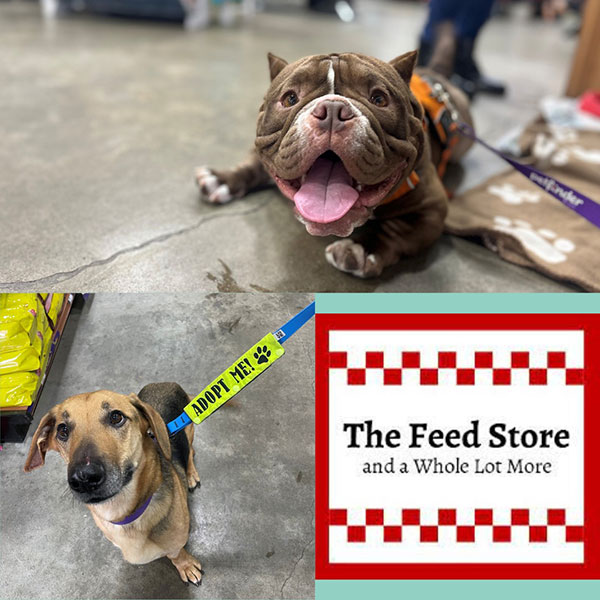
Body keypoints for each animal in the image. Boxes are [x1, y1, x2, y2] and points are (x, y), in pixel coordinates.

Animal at [23, 384, 203, 584]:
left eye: (116, 417)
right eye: (62, 430)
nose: (84, 478)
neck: (125, 514)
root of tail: (167, 382)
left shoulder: (177, 542)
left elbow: (176, 554)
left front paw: (185, 565)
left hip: (189, 430)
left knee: (191, 451)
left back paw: (191, 474)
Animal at [197, 49, 474, 278]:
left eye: (379, 99)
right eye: (289, 98)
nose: (332, 110)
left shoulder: (432, 208)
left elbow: (396, 230)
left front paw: (361, 249)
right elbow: (254, 163)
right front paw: (222, 179)